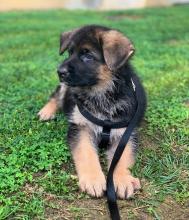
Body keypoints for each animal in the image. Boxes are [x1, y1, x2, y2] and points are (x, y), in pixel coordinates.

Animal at [37, 24, 146, 199]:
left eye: (88, 56)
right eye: (70, 52)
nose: (59, 71)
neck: (101, 93)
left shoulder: (125, 133)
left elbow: (122, 157)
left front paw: (122, 179)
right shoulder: (81, 127)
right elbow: (86, 153)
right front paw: (93, 180)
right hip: (66, 87)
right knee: (56, 95)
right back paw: (46, 112)